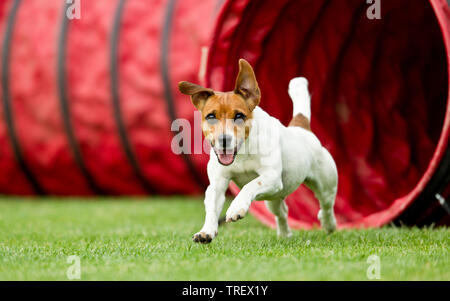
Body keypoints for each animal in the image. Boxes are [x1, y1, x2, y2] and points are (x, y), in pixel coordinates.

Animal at [178, 59, 336, 244]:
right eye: (211, 116)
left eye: (239, 116)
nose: (224, 140)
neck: (241, 153)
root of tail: (301, 128)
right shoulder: (218, 183)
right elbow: (211, 207)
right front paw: (206, 232)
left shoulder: (271, 177)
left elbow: (250, 185)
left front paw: (236, 208)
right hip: (274, 196)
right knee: (282, 212)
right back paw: (285, 235)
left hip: (324, 184)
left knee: (326, 205)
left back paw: (329, 225)